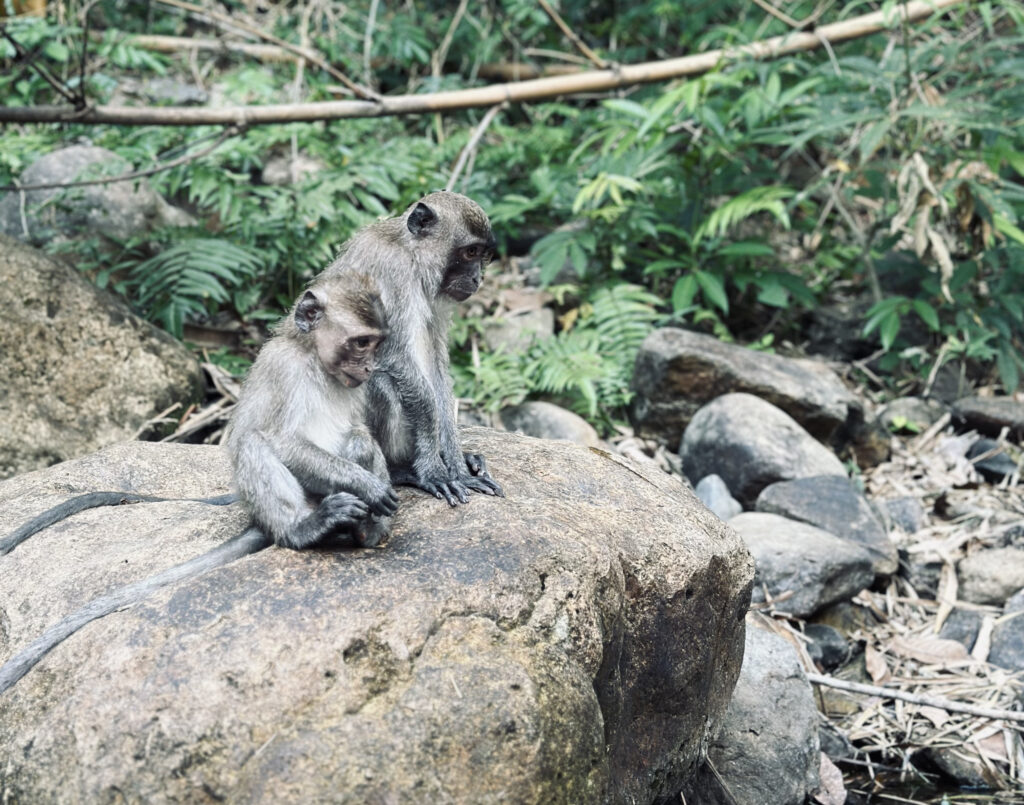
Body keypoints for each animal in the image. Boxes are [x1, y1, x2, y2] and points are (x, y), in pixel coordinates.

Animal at [225, 272, 399, 548]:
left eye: (377, 343)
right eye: (362, 342)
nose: (370, 368)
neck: (316, 360)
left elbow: (359, 429)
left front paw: (362, 455)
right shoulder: (284, 368)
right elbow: (284, 441)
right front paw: (364, 485)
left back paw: (366, 529)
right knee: (252, 441)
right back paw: (302, 528)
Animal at [323, 190, 503, 505]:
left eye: (483, 255)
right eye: (470, 253)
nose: (477, 279)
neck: (410, 254)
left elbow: (437, 369)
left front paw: (457, 466)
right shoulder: (392, 272)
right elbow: (395, 360)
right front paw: (434, 470)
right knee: (381, 382)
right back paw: (400, 470)